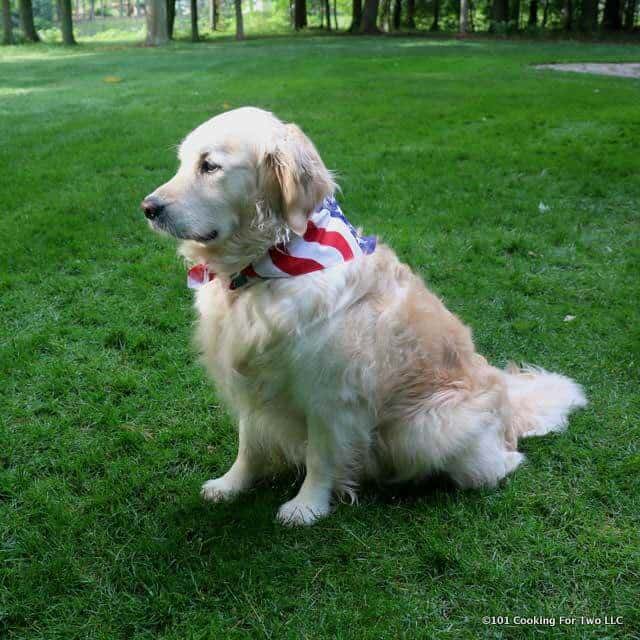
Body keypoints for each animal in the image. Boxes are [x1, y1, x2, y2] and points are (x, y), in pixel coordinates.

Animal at [142, 106, 588, 524]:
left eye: (210, 166)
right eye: (183, 162)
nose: (148, 207)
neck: (265, 265)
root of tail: (508, 406)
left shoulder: (332, 393)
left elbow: (321, 456)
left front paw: (307, 507)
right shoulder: (252, 379)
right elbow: (249, 443)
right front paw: (231, 485)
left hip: (430, 427)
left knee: (504, 461)